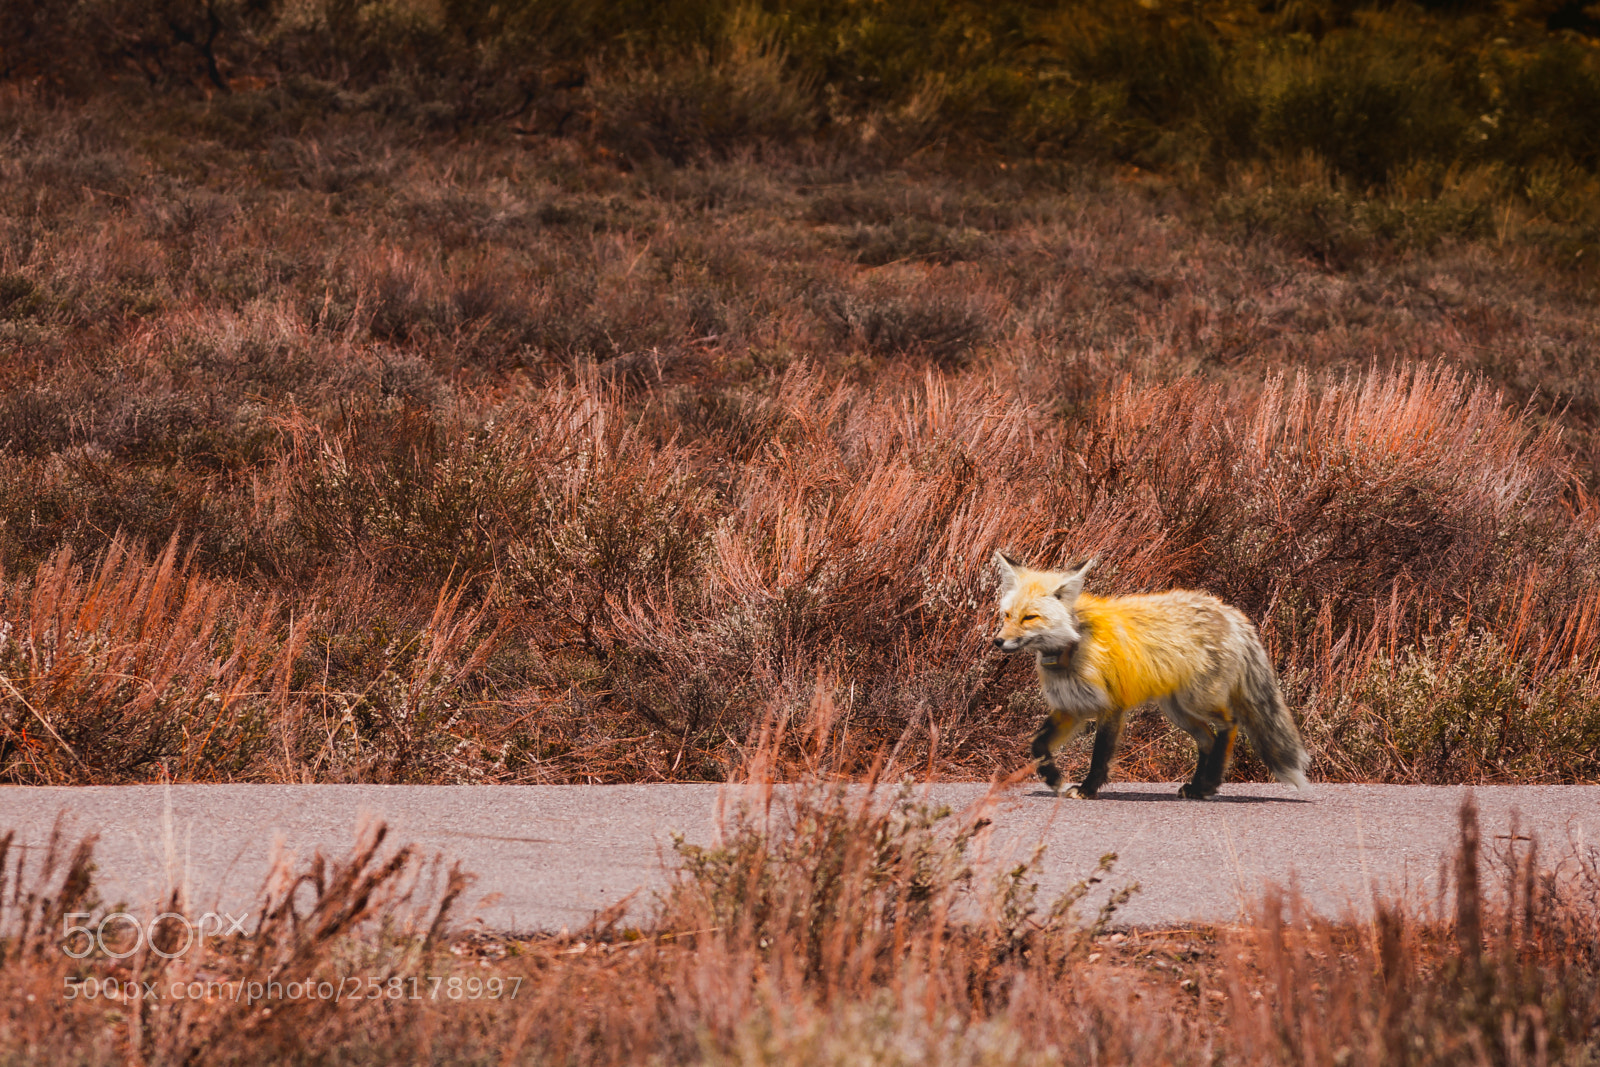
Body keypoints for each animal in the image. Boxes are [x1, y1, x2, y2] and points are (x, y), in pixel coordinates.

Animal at [990, 552, 1308, 800]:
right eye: (1006, 615)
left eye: (1029, 618)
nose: (998, 641)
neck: (1076, 643)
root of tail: (1229, 611)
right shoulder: (1072, 708)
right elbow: (1038, 745)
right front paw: (1054, 780)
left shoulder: (1111, 707)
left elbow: (1099, 757)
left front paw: (1088, 789)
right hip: (1178, 710)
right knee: (1207, 739)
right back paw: (1197, 788)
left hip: (1198, 702)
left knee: (1230, 726)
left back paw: (1209, 784)